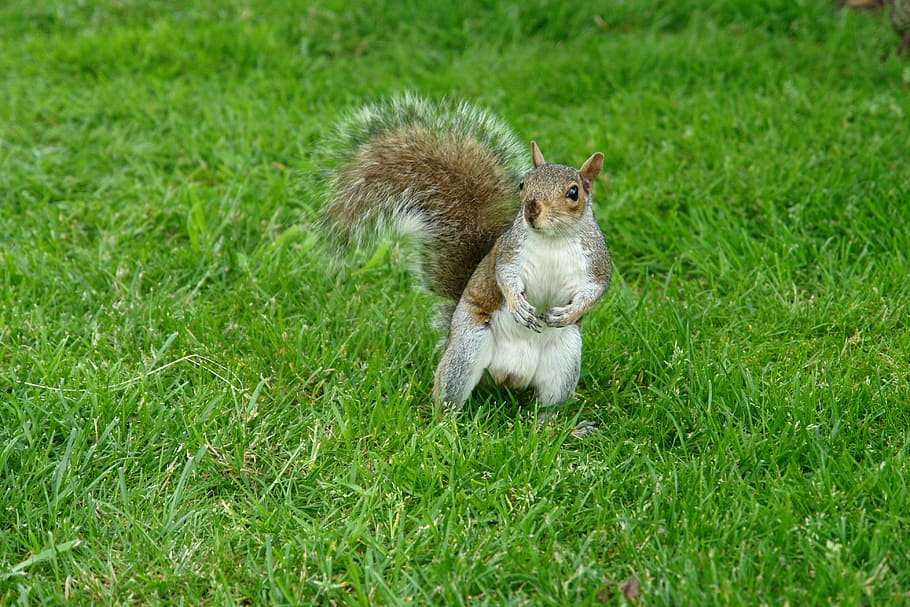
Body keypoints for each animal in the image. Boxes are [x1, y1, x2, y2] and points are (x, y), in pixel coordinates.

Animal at [321, 93, 611, 427]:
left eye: (573, 193)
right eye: (523, 184)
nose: (531, 209)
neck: (552, 239)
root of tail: (509, 377)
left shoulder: (597, 262)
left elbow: (596, 289)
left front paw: (569, 312)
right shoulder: (507, 252)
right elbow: (504, 277)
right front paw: (518, 305)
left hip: (564, 359)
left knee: (548, 406)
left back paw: (555, 427)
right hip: (468, 346)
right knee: (450, 393)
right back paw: (447, 425)